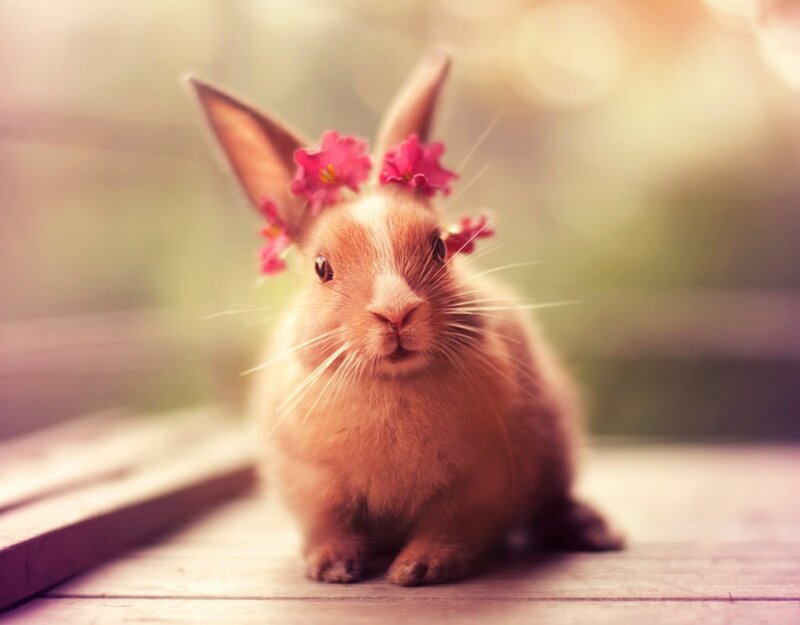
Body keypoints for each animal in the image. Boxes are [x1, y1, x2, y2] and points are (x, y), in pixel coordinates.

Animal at [188, 50, 622, 586]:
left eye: (439, 247)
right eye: (322, 267)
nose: (396, 311)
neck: (394, 382)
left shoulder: (479, 483)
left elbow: (450, 527)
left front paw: (420, 569)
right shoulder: (313, 486)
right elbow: (328, 524)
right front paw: (333, 568)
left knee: (554, 502)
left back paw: (595, 534)